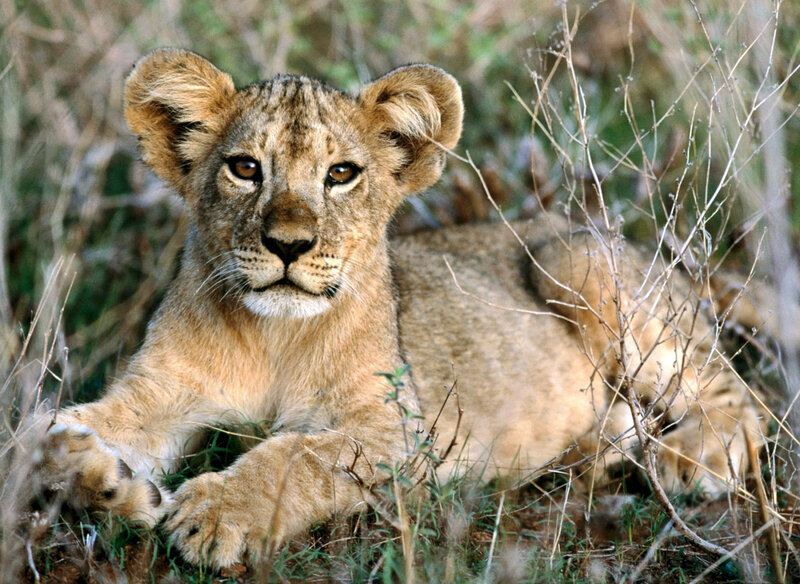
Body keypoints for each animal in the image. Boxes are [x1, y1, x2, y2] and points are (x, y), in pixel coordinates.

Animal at [25, 48, 763, 569]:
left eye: (340, 174)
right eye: (245, 168)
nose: (288, 245)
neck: (274, 338)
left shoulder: (400, 432)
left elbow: (298, 454)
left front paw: (216, 511)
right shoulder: (159, 389)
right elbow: (40, 432)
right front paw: (110, 481)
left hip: (576, 260)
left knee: (739, 396)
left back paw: (690, 457)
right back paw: (596, 454)